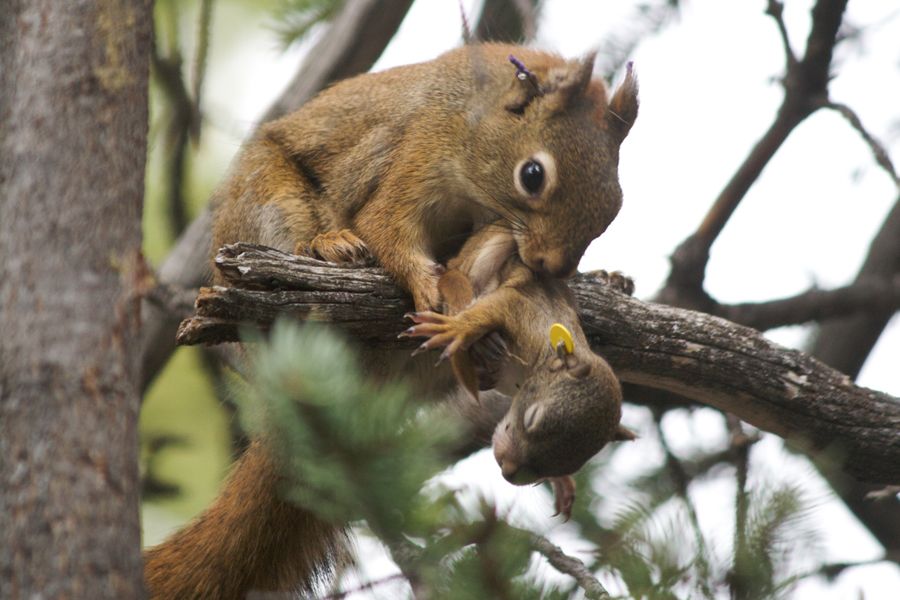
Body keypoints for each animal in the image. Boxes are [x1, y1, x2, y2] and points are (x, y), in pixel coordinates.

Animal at [209, 43, 640, 310]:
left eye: (616, 205)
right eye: (532, 176)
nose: (552, 266)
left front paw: (600, 276)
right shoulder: (420, 155)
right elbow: (384, 225)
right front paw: (426, 285)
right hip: (268, 200)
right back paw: (327, 245)